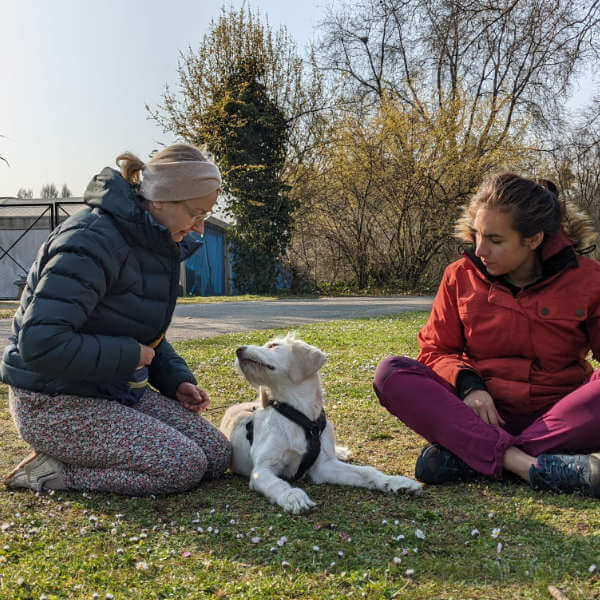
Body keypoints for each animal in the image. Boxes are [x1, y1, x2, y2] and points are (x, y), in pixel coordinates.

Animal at [220, 336, 422, 512]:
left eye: (273, 345)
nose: (238, 350)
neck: (300, 418)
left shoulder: (323, 466)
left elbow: (367, 471)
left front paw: (395, 482)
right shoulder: (262, 469)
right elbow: (277, 483)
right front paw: (293, 496)